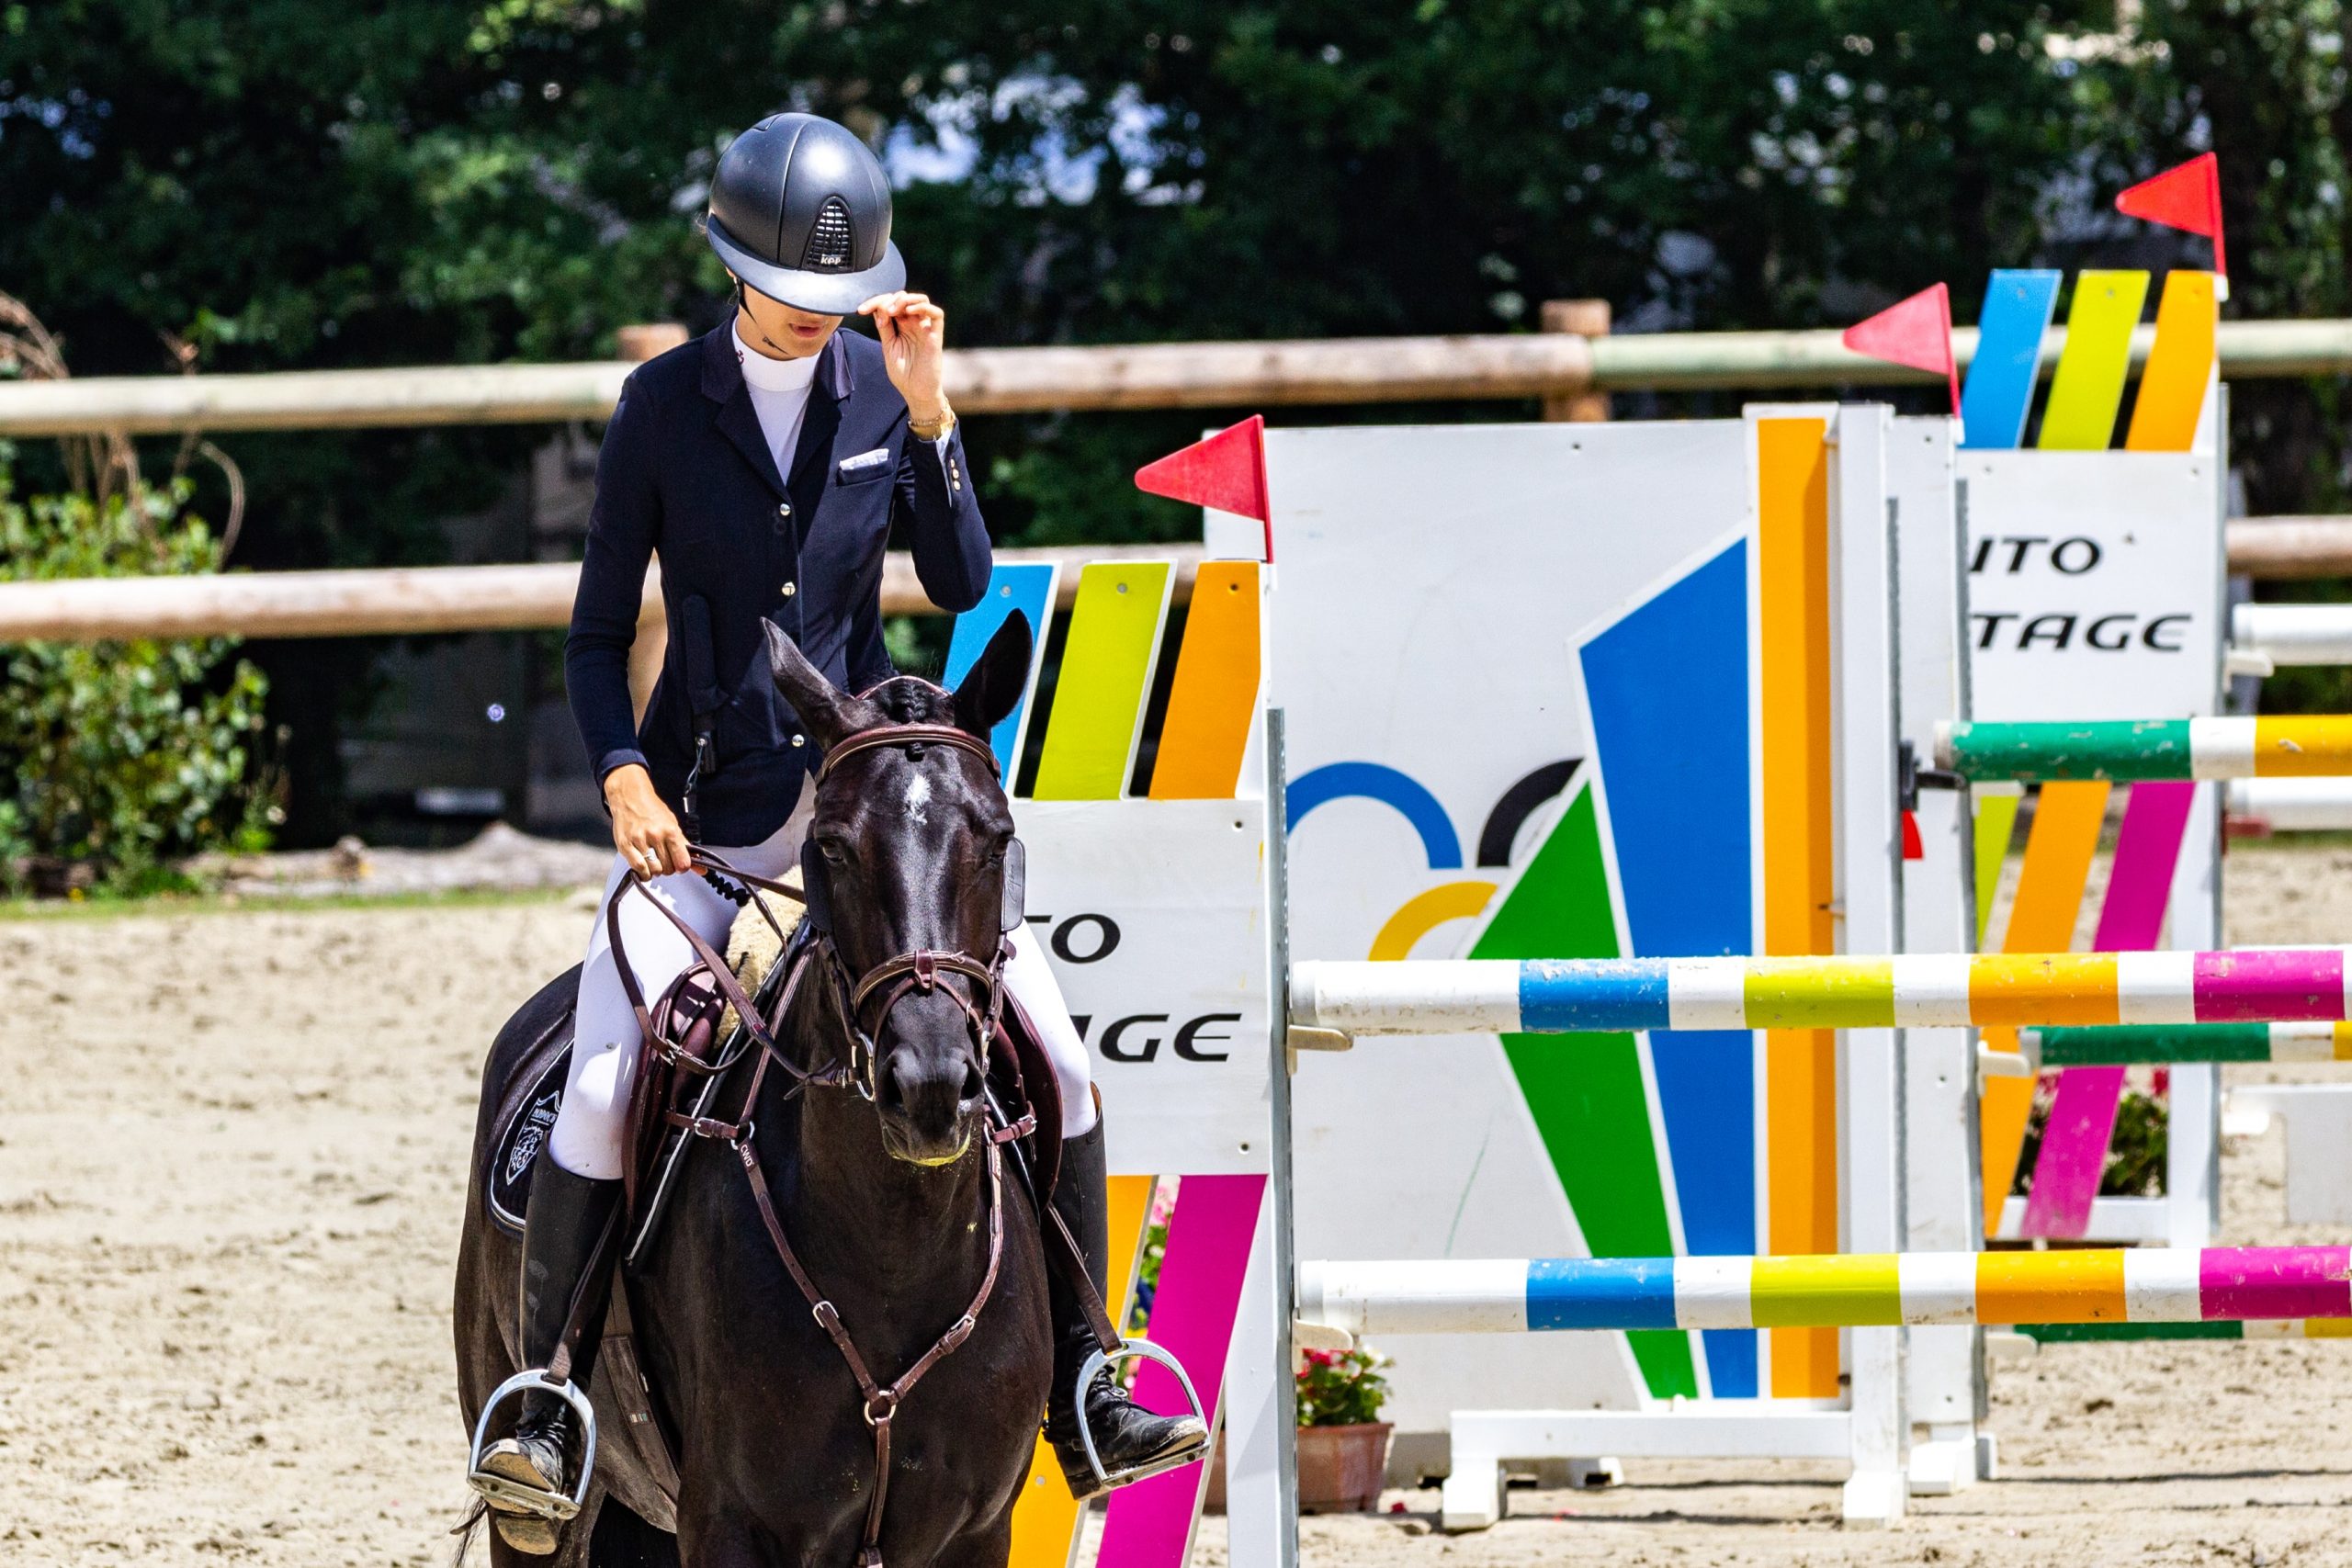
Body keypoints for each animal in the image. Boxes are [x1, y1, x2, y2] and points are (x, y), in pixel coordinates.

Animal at [456, 620, 1048, 1561]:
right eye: (834, 845)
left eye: (997, 838)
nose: (928, 1084)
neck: (894, 1246)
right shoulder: (730, 1521)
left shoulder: (977, 1530)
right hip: (535, 1500)